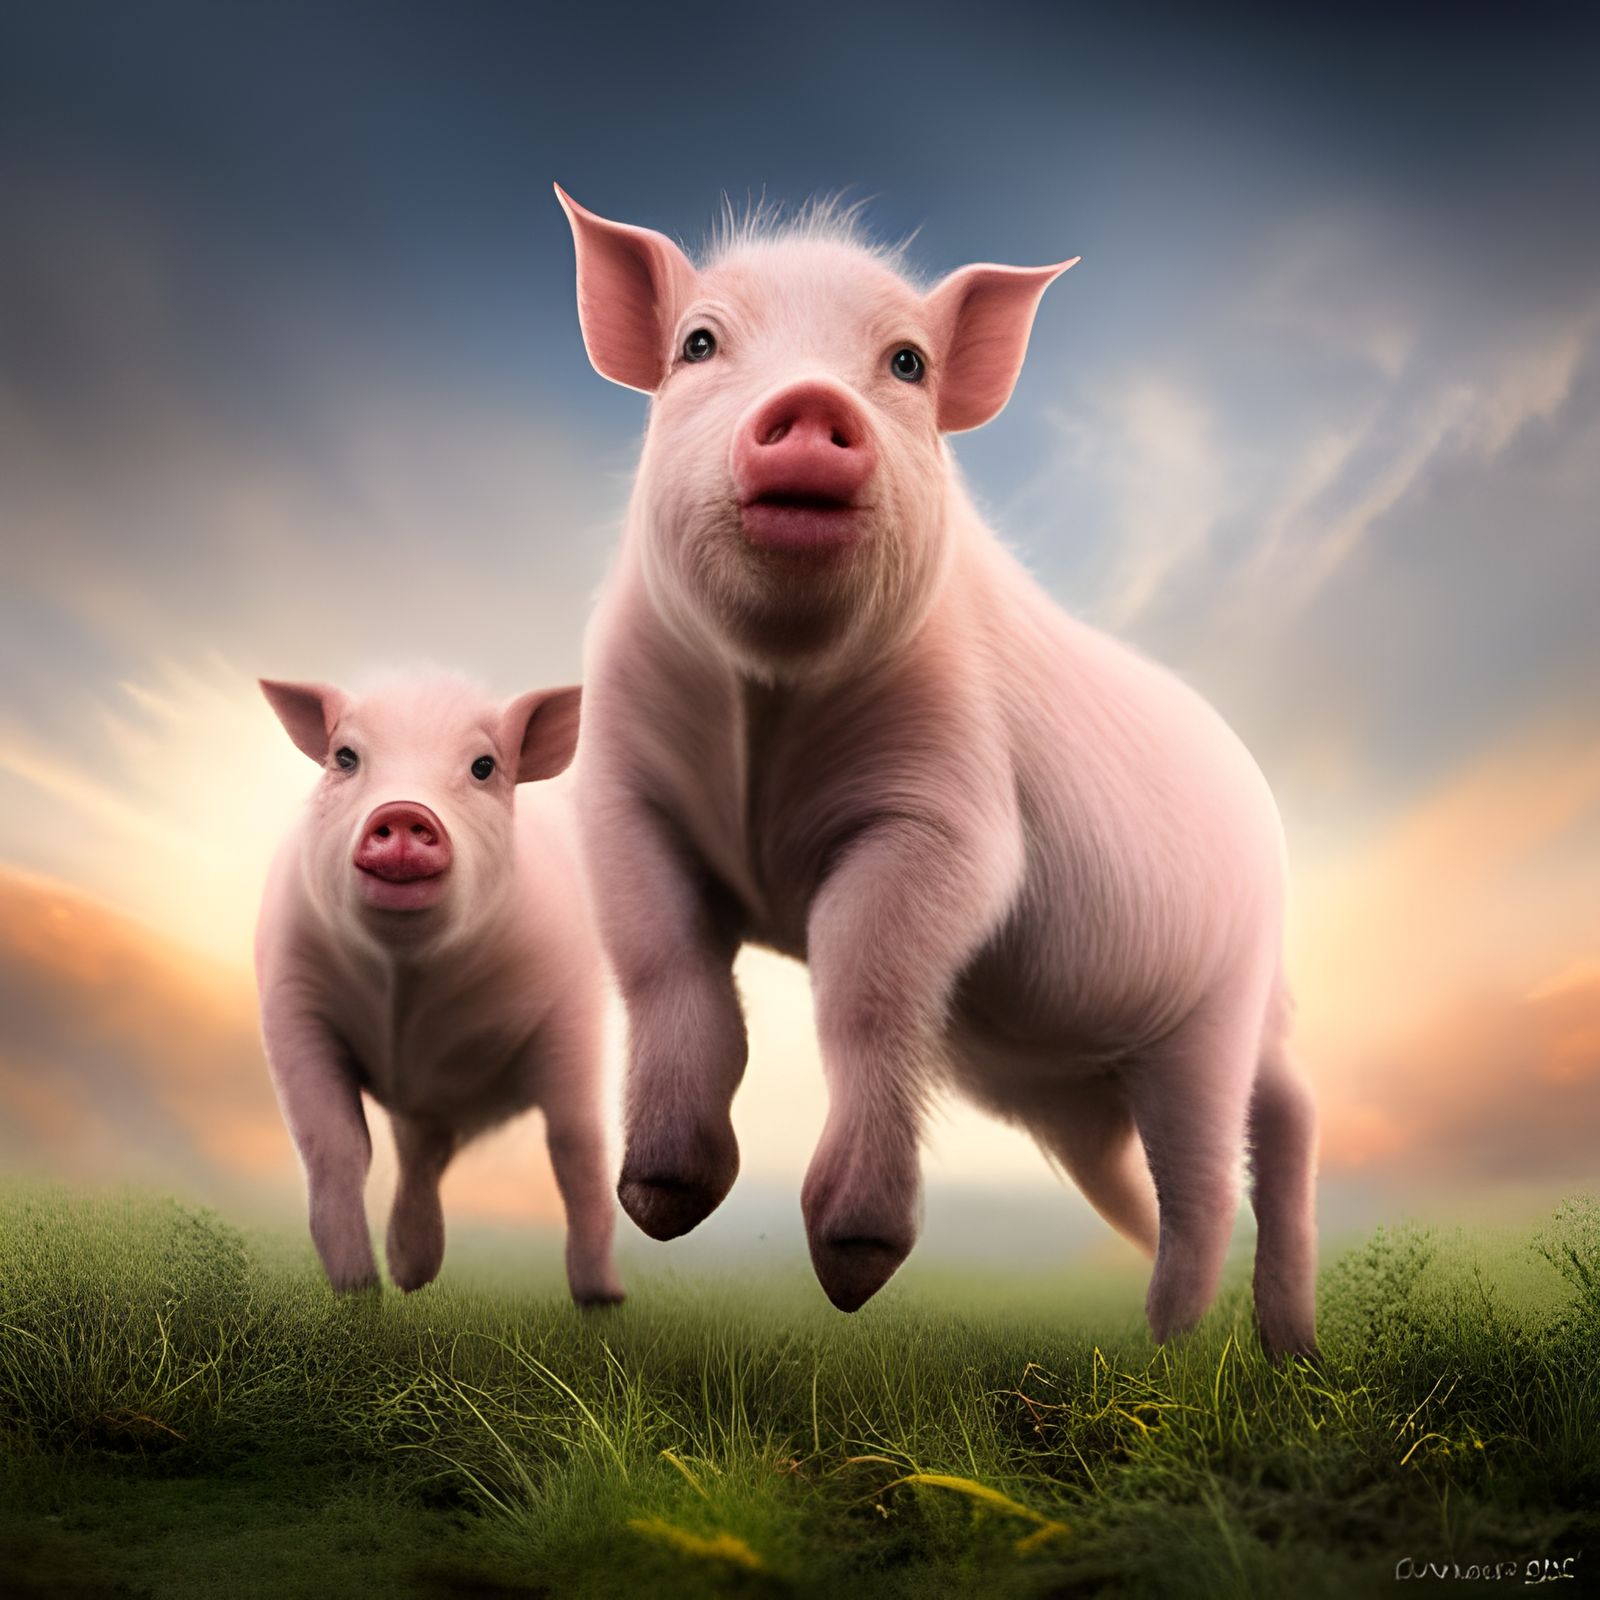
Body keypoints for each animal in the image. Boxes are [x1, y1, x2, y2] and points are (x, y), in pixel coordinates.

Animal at [254, 671, 624, 1306]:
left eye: (483, 766)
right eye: (345, 757)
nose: (404, 811)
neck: (407, 985)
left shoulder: (571, 1004)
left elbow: (576, 1147)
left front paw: (602, 1302)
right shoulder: (291, 1000)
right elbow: (336, 1145)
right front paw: (359, 1294)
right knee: (419, 1156)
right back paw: (409, 1278)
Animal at [554, 189, 1318, 1359]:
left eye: (906, 363)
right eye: (699, 343)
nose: (811, 398)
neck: (770, 706)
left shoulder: (952, 816)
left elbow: (866, 990)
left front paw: (853, 1267)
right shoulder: (621, 791)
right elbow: (661, 957)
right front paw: (664, 1201)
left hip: (1209, 1007)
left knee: (1214, 1174)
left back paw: (1173, 1351)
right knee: (1266, 1123)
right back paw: (1283, 1352)